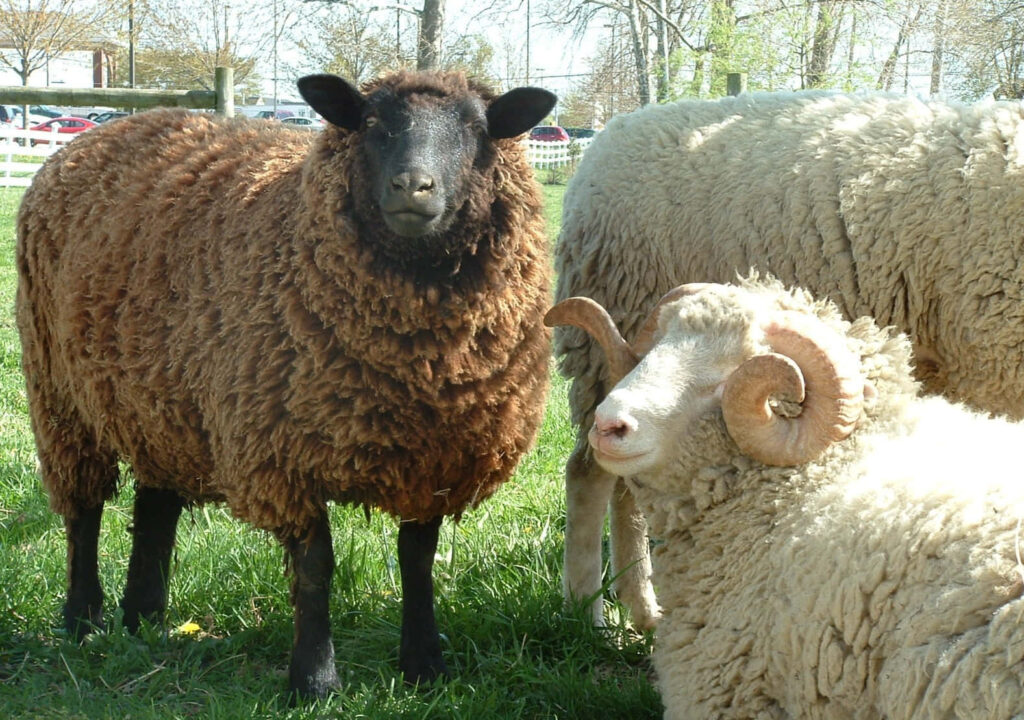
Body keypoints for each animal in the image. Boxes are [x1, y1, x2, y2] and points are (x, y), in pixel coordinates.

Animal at [15, 69, 556, 700]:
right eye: (372, 122)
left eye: (476, 127)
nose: (412, 186)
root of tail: (91, 139)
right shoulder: (279, 451)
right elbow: (316, 567)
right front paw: (315, 680)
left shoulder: (436, 457)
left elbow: (417, 559)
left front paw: (425, 666)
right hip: (59, 394)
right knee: (82, 511)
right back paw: (83, 618)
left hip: (161, 399)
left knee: (155, 508)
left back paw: (144, 617)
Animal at [553, 90, 1024, 630]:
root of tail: (610, 136)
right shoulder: (994, 366)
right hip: (618, 325)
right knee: (589, 475)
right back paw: (588, 614)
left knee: (629, 483)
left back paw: (643, 609)